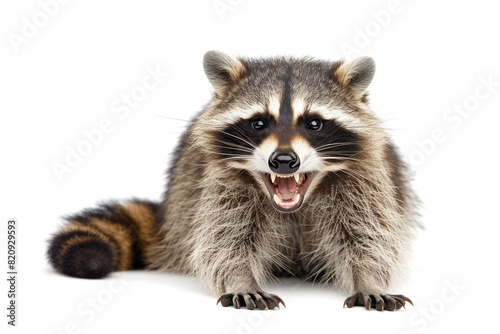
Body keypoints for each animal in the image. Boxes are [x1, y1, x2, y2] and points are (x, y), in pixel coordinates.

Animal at [49, 51, 418, 312]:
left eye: (314, 123)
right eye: (258, 123)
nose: (284, 161)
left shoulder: (364, 180)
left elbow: (367, 237)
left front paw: (369, 281)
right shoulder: (222, 182)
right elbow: (226, 239)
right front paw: (241, 280)